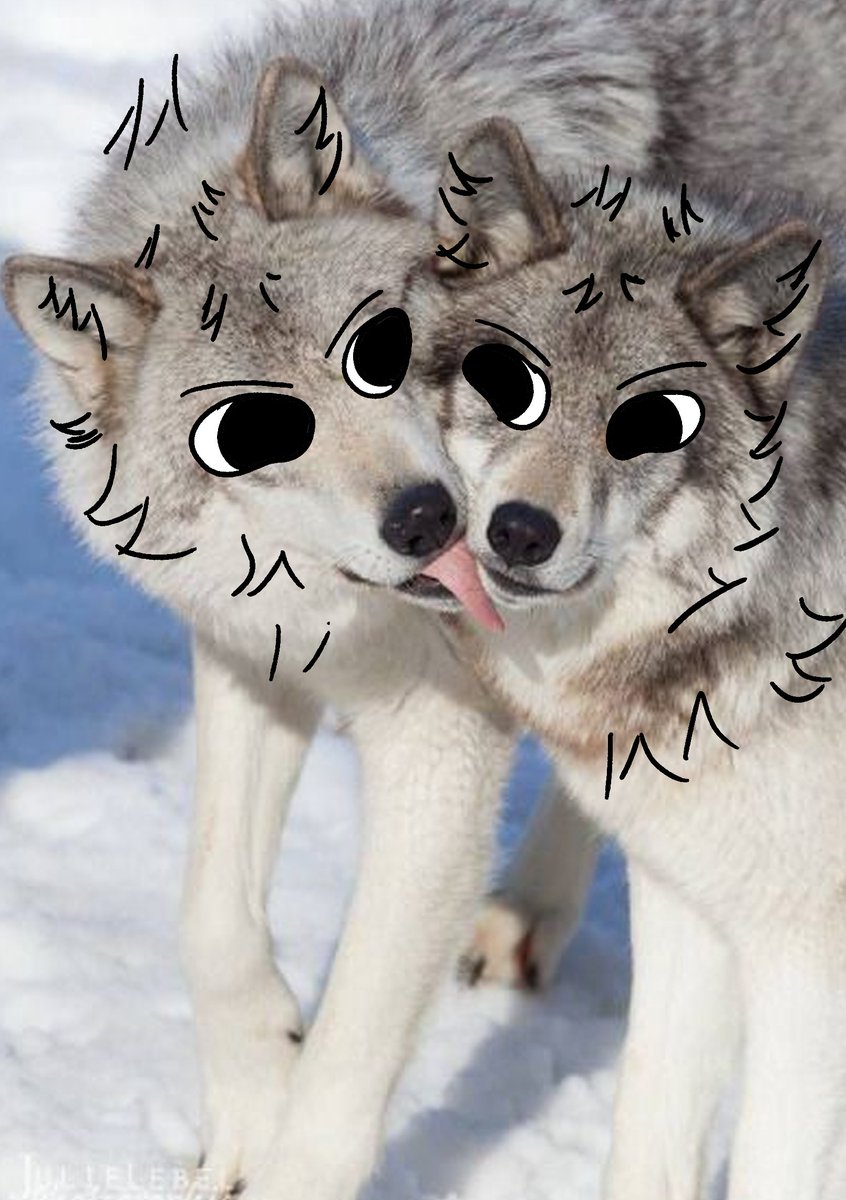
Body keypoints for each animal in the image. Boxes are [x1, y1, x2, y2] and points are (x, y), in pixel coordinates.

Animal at [408, 117, 846, 1200]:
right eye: (507, 386)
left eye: (647, 427)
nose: (521, 531)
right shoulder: (692, 904)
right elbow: (652, 1129)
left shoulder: (807, 963)